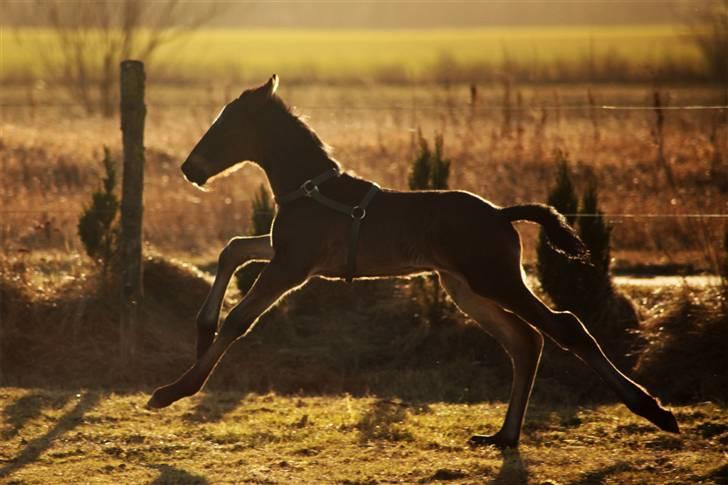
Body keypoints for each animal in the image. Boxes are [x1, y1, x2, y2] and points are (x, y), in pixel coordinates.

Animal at [145, 74, 680, 446]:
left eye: (225, 125)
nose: (189, 169)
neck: (310, 189)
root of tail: (500, 214)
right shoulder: (288, 254)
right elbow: (233, 247)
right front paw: (200, 330)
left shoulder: (291, 268)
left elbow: (241, 319)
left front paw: (172, 390)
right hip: (465, 289)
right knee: (525, 341)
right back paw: (504, 437)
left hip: (495, 279)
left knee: (564, 326)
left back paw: (655, 410)